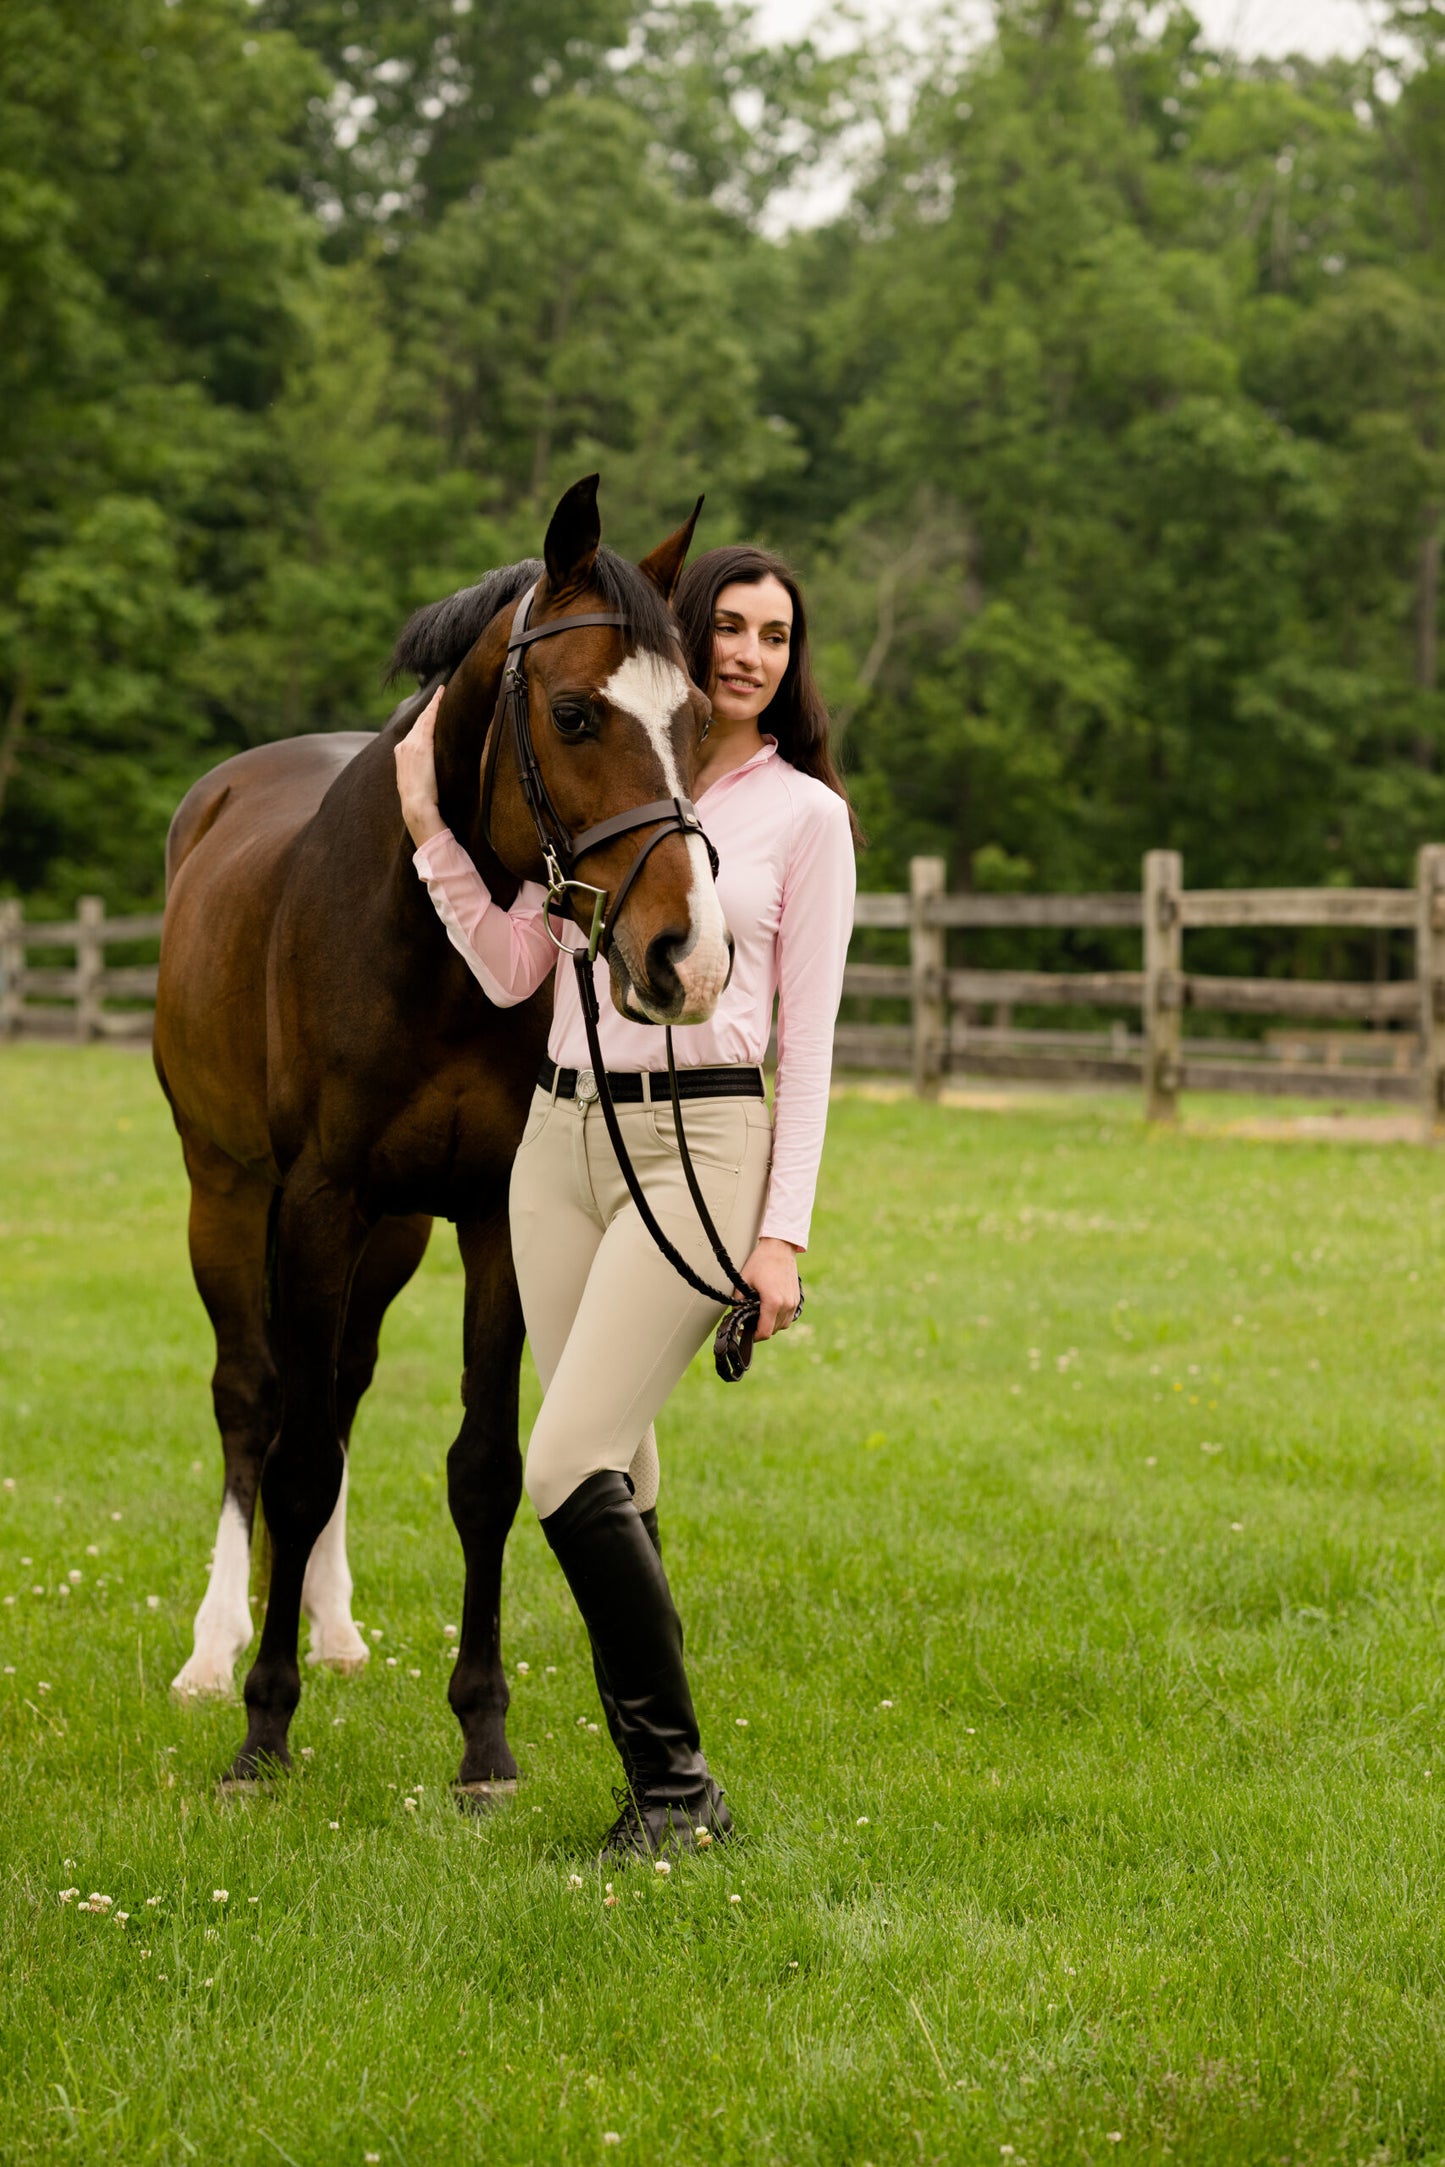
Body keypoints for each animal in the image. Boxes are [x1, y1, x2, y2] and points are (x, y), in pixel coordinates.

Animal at [155, 483, 719, 1785]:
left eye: (700, 720)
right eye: (573, 713)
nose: (683, 952)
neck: (428, 936)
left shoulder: (484, 1219)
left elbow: (483, 1468)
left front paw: (483, 1738)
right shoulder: (316, 1202)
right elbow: (297, 1455)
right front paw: (263, 1726)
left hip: (392, 1234)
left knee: (341, 1390)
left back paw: (333, 1624)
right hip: (228, 1193)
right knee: (254, 1401)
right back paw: (213, 1650)